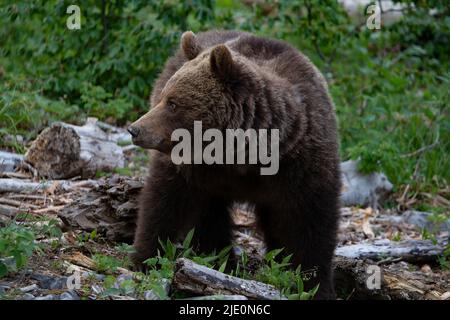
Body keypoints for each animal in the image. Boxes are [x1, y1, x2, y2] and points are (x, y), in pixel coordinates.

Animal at [128, 28, 340, 298]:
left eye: (173, 103)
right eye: (163, 98)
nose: (135, 129)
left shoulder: (300, 166)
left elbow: (309, 225)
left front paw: (314, 285)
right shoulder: (190, 168)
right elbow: (165, 203)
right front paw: (144, 259)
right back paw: (220, 259)